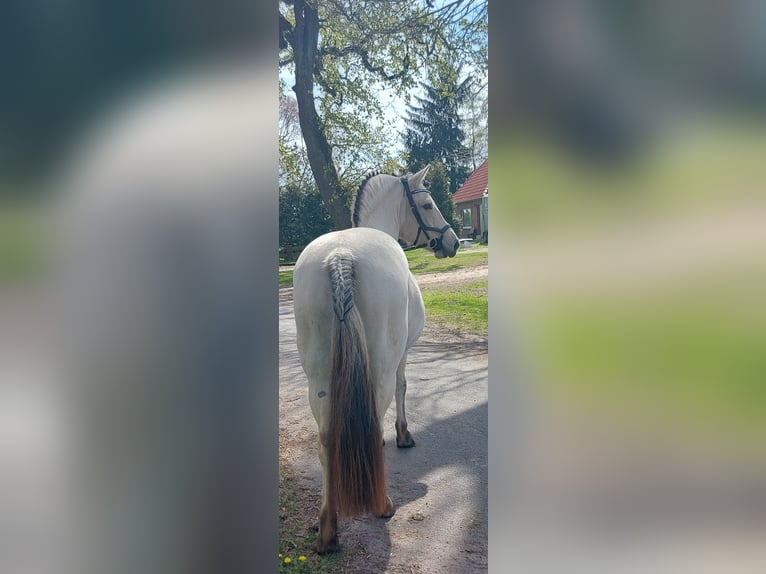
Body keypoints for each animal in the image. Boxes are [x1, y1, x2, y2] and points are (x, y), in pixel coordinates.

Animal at [292, 165, 460, 553]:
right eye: (427, 204)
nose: (454, 242)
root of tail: (339, 256)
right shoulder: (402, 355)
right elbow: (403, 388)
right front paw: (403, 434)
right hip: (380, 365)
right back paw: (382, 505)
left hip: (317, 377)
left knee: (326, 436)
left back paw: (327, 529)